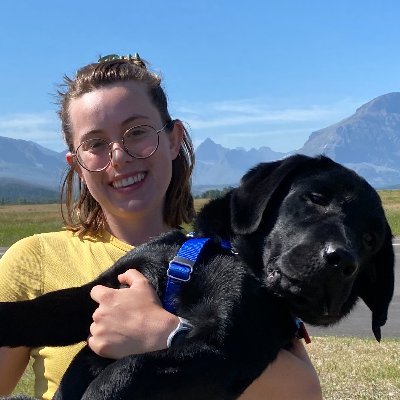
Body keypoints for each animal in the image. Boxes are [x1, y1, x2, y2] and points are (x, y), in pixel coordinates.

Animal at [0, 155, 394, 400]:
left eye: (371, 239)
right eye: (315, 198)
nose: (341, 260)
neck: (227, 254)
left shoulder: (224, 350)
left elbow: (128, 367)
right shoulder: (102, 290)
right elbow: (41, 310)